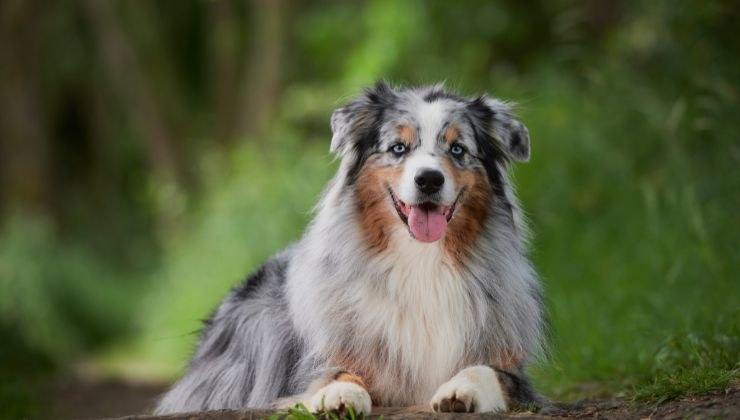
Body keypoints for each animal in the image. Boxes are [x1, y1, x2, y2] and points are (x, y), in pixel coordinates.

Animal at [155, 81, 544, 414]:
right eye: (398, 148)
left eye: (458, 149)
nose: (429, 180)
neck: (420, 260)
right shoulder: (318, 360)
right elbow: (337, 372)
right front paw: (339, 395)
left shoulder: (513, 371)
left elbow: (487, 370)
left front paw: (459, 390)